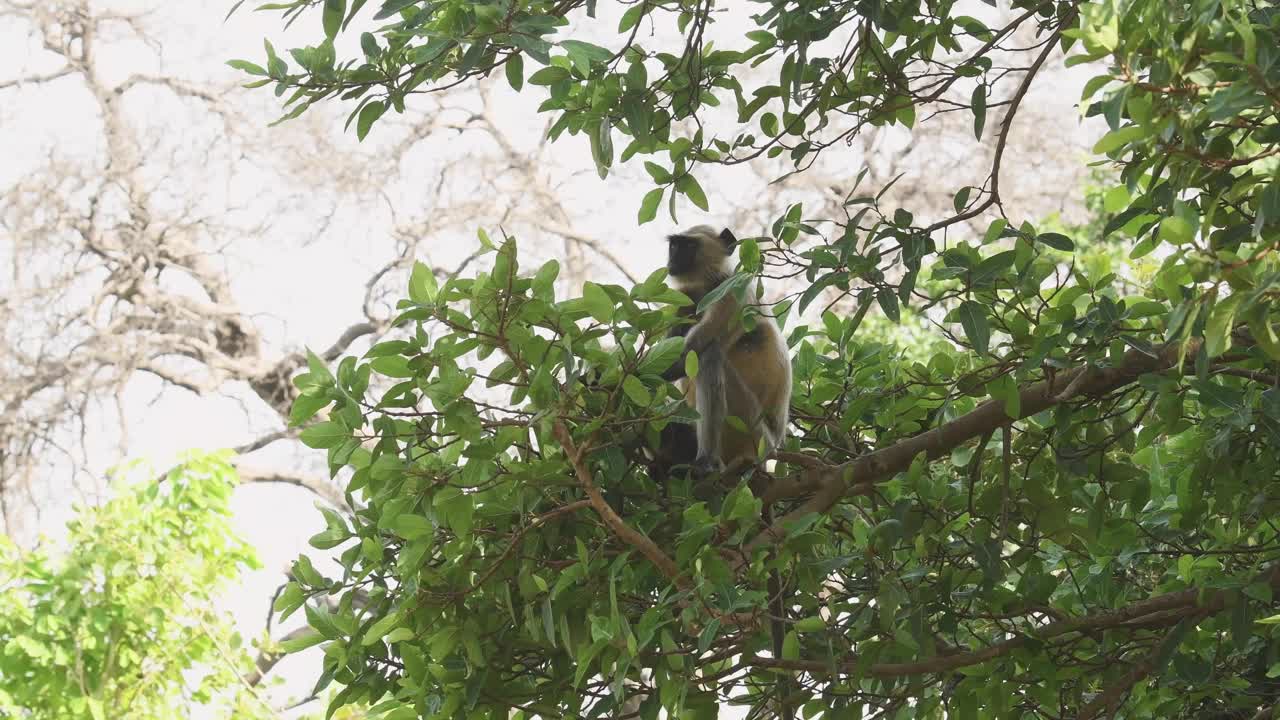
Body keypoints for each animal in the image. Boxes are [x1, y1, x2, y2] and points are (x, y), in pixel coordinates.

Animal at [660, 221, 788, 474]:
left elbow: (687, 354)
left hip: (753, 432)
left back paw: (706, 461)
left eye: (688, 246)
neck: (708, 284)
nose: (673, 260)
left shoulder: (731, 291)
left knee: (709, 355)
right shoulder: (686, 298)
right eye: (674, 245)